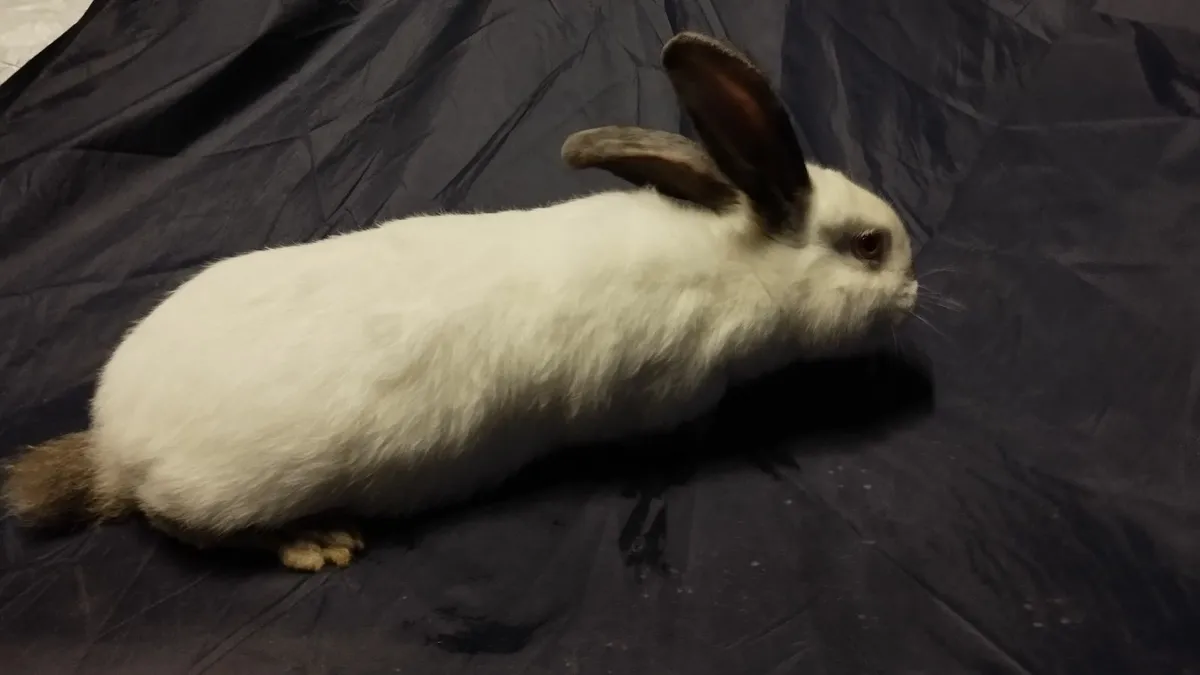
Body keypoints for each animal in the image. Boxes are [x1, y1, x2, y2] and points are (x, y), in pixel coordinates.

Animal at [2, 31, 918, 572]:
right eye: (870, 246)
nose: (913, 292)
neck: (739, 264)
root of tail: (114, 445)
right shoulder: (671, 391)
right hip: (226, 491)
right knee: (185, 524)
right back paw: (315, 541)